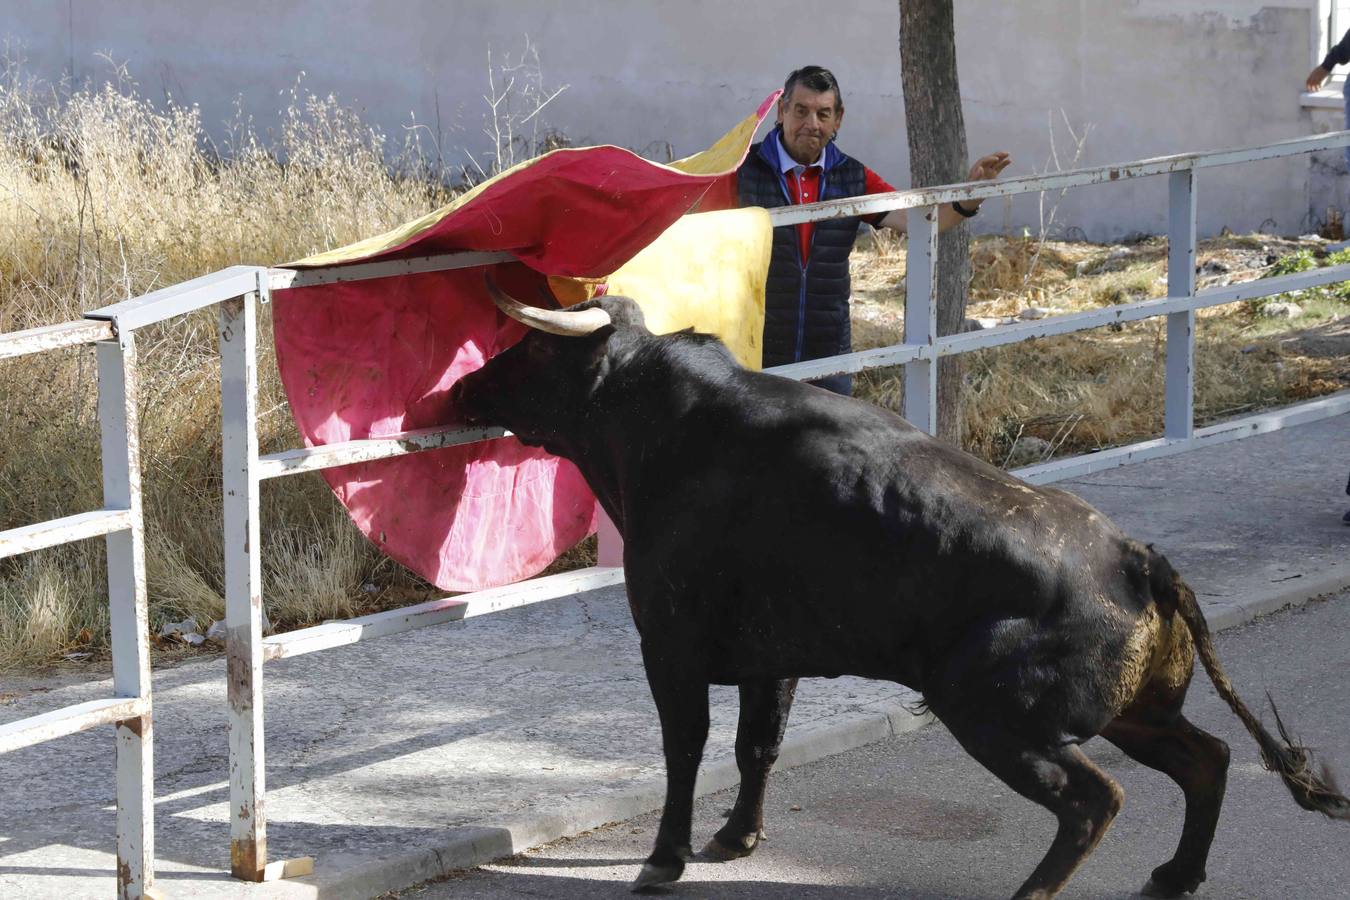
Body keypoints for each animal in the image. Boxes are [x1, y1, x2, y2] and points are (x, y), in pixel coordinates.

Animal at [448, 282, 1344, 900]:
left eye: (531, 351)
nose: (460, 390)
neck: (670, 423)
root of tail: (1137, 558)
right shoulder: (775, 657)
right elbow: (755, 747)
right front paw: (737, 839)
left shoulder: (670, 645)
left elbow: (686, 748)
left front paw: (664, 859)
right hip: (1133, 711)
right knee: (1208, 758)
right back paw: (1174, 875)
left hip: (991, 715)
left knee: (1095, 800)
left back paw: (1036, 891)